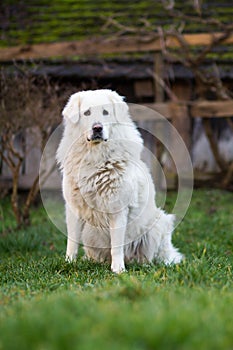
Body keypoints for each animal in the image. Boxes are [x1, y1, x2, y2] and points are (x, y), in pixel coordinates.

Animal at [56, 88, 182, 274]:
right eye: (87, 113)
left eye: (105, 112)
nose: (97, 128)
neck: (97, 157)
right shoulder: (74, 209)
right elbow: (71, 242)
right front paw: (69, 263)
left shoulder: (118, 209)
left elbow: (116, 245)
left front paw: (118, 270)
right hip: (90, 235)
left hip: (158, 224)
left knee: (151, 256)